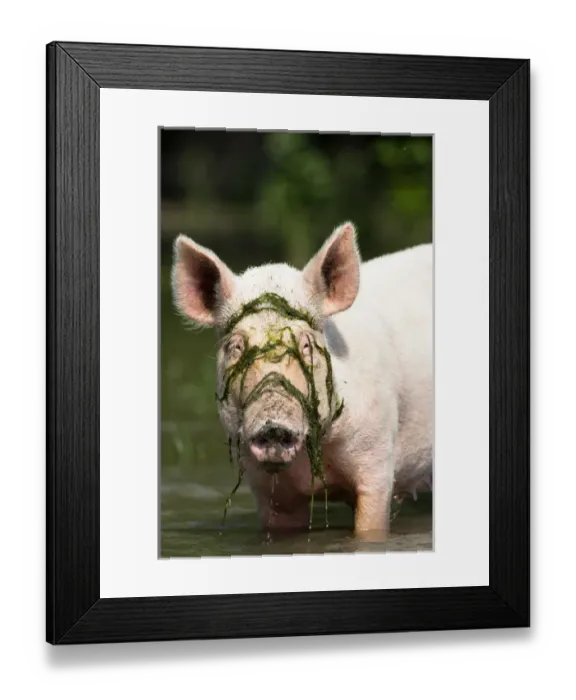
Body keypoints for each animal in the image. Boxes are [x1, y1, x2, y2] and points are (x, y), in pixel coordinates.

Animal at [171, 222, 433, 540]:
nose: (273, 426)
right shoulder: (267, 490)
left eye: (306, 344)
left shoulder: (378, 459)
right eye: (236, 347)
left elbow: (370, 524)